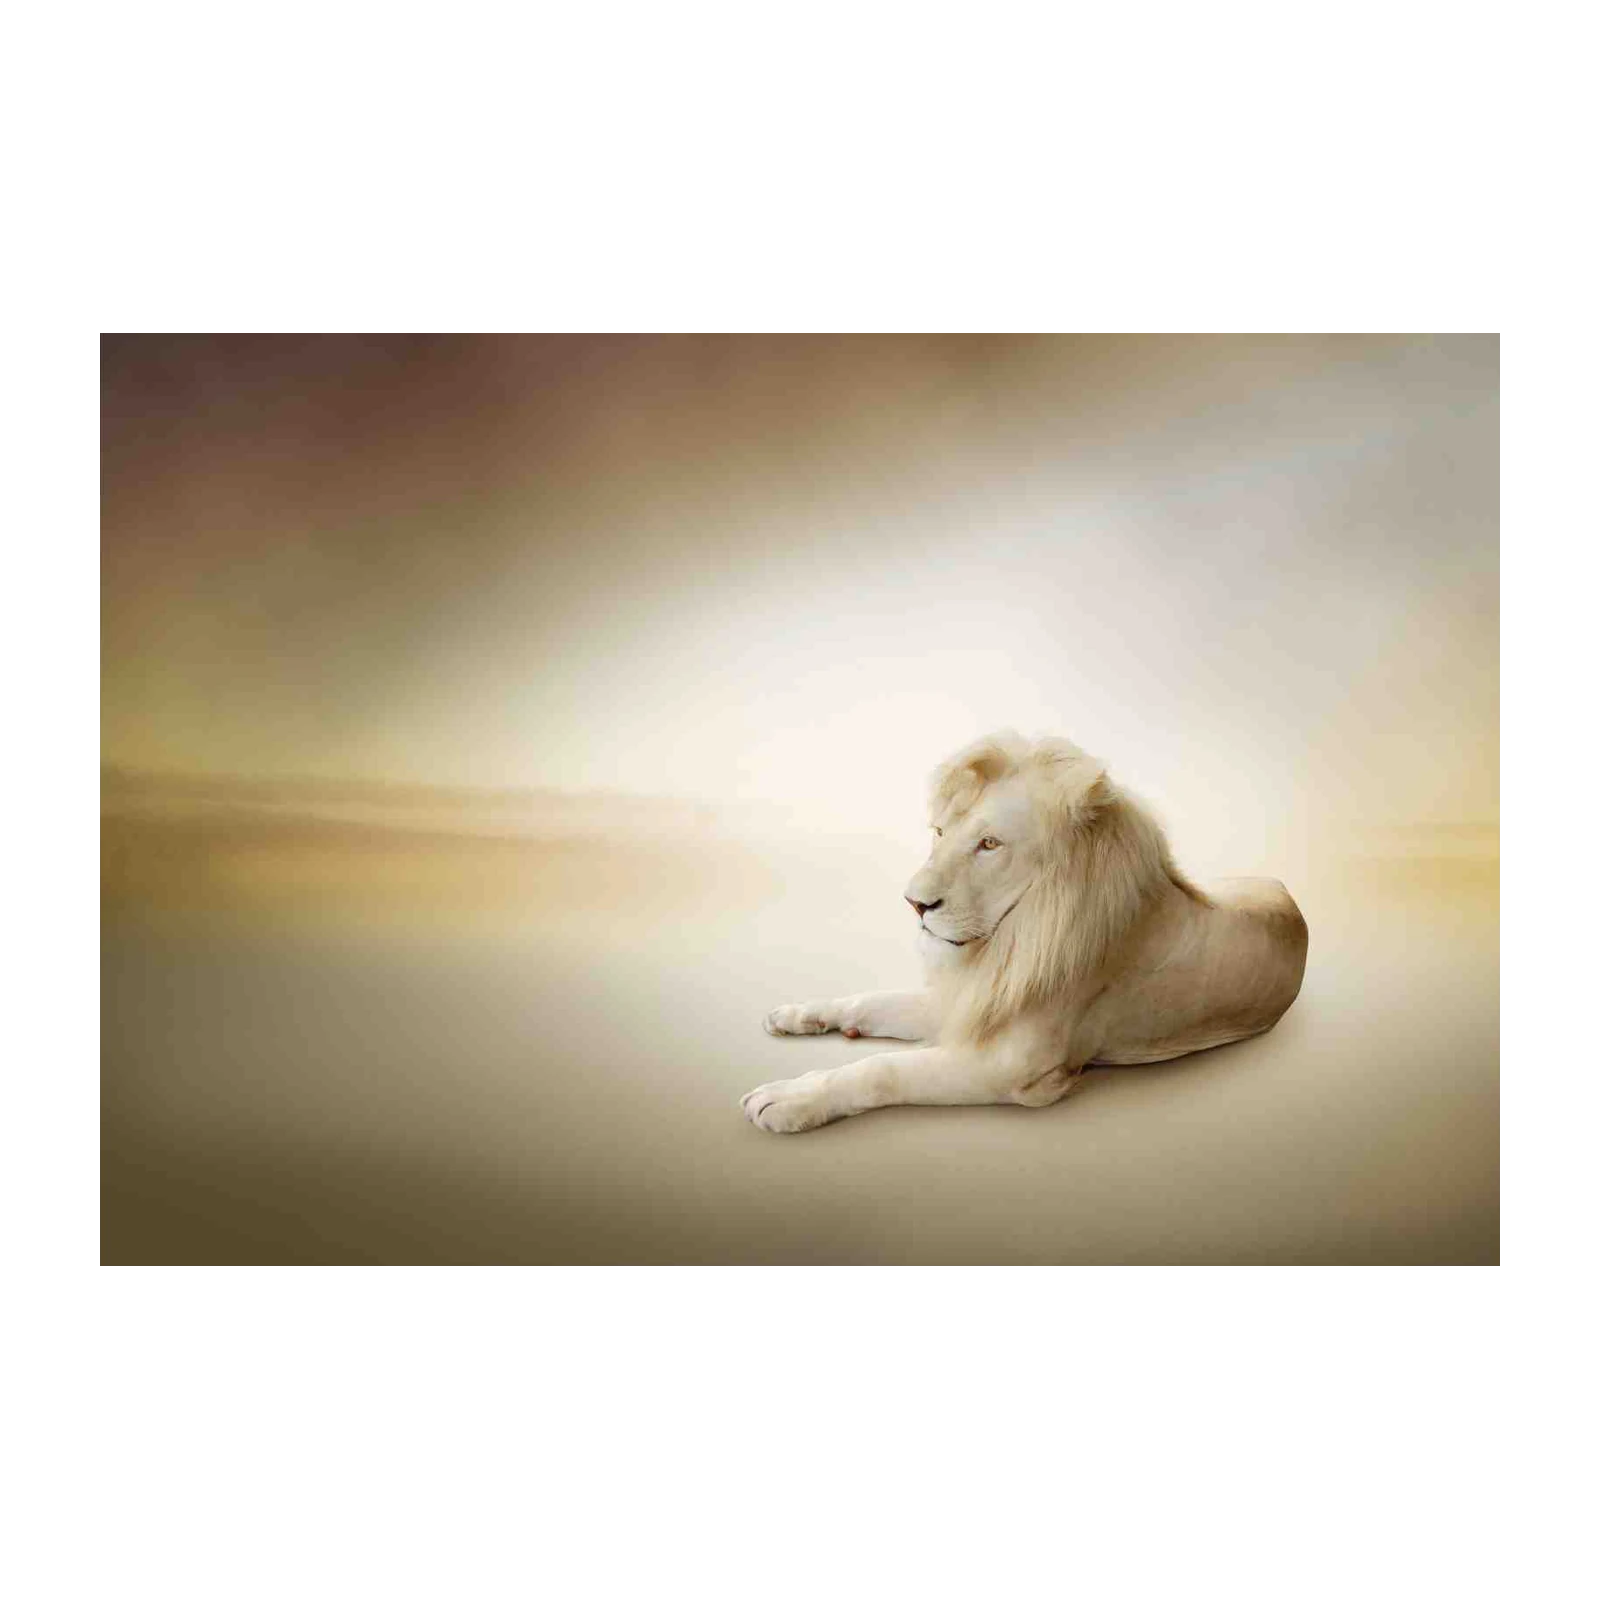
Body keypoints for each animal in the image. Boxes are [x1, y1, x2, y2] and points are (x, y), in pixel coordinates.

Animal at [743, 730, 1308, 1133]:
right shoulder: (974, 999)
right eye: (940, 833)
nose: (913, 903)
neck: (1008, 942)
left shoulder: (1015, 1067)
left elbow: (882, 1070)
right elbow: (871, 1001)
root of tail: (1286, 889)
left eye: (990, 844)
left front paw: (788, 1098)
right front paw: (800, 1014)